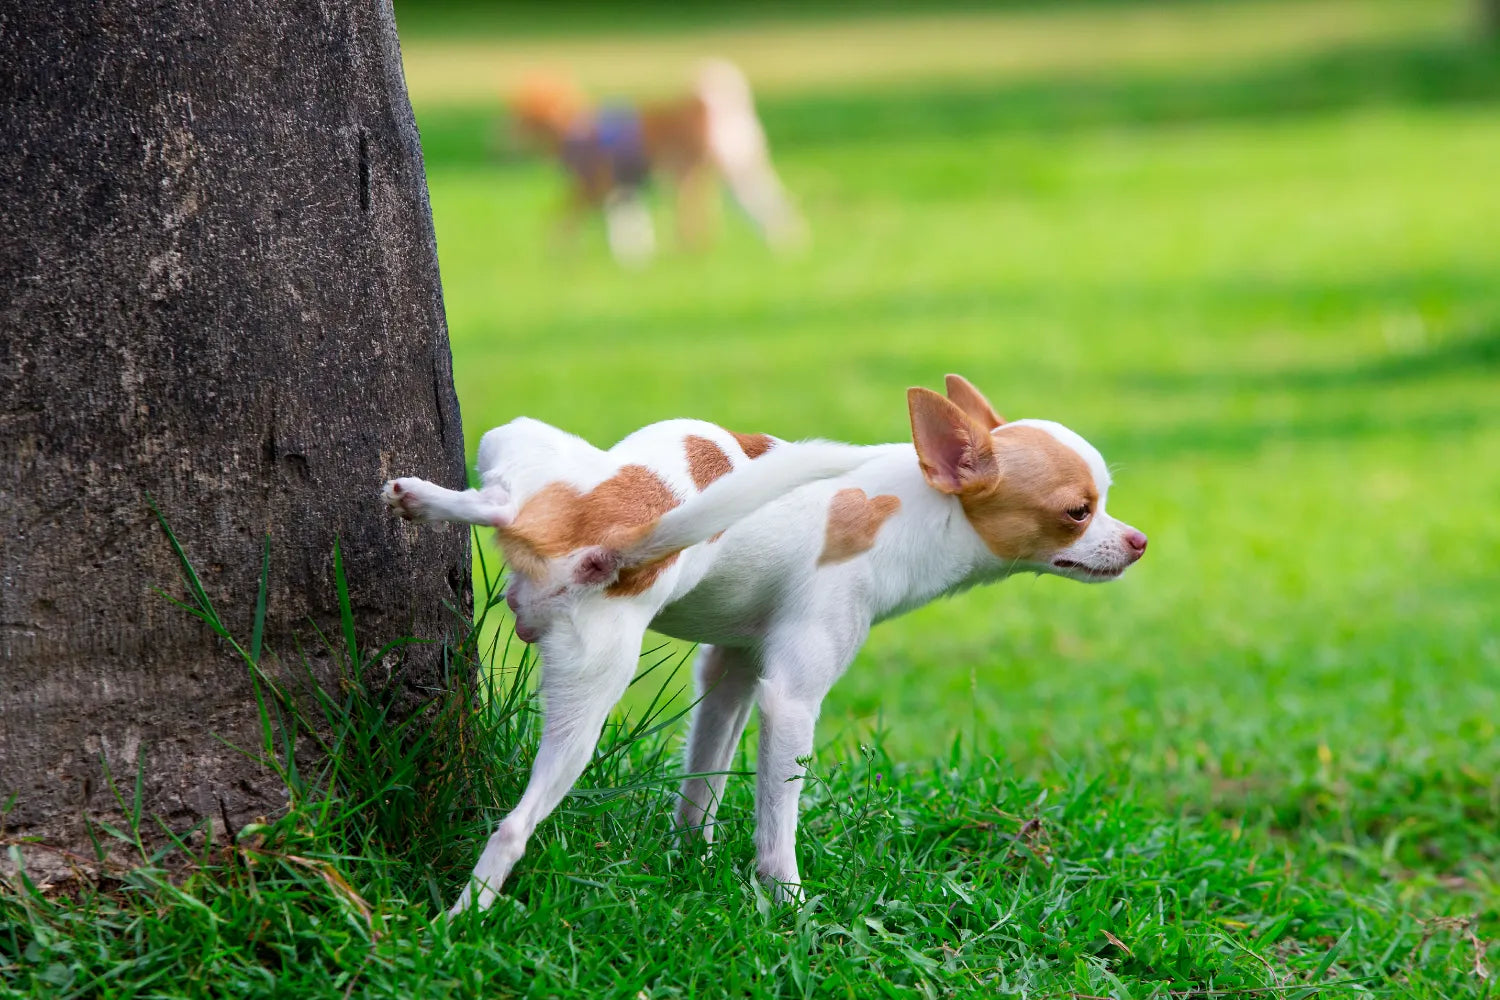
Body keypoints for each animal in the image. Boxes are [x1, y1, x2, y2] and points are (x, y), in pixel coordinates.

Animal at [381, 374, 1140, 917]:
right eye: (1078, 512)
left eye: (1105, 502)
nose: (1138, 541)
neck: (915, 504)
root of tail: (613, 541)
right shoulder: (791, 702)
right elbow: (778, 824)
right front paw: (788, 909)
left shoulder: (732, 673)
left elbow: (703, 785)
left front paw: (689, 863)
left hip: (565, 614)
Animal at [507, 58, 810, 262]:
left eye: (519, 116)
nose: (500, 135)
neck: (573, 129)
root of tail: (720, 108)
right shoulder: (623, 189)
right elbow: (629, 225)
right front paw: (634, 257)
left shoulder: (593, 187)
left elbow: (563, 220)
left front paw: (561, 253)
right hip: (739, 173)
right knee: (768, 205)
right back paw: (785, 243)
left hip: (685, 176)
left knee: (702, 221)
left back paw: (689, 252)